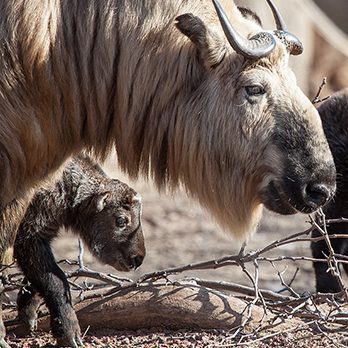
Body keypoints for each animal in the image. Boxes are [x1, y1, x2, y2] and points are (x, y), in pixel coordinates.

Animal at [13, 154, 144, 346]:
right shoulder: (27, 234)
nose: (138, 259)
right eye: (121, 220)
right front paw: (68, 331)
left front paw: (27, 310)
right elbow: (56, 280)